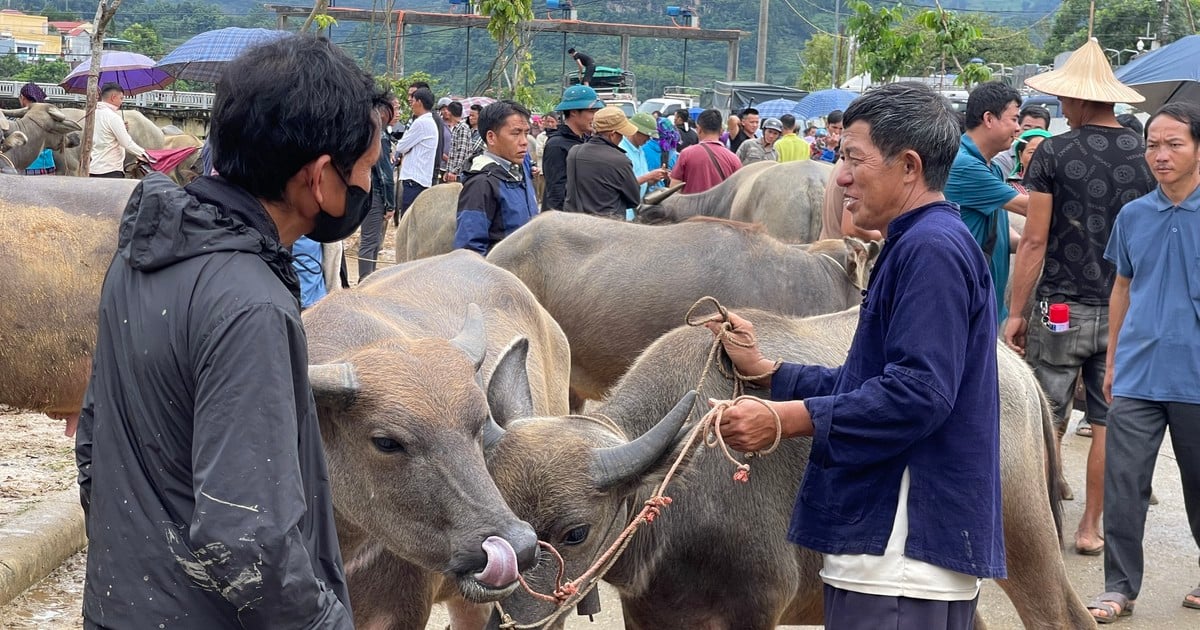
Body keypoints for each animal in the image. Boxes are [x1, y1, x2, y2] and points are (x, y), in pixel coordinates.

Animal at [482, 307, 1094, 628]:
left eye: (575, 532)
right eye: (501, 515)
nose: (509, 621)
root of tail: (1018, 370)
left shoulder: (755, 610)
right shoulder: (650, 614)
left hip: (1023, 536)